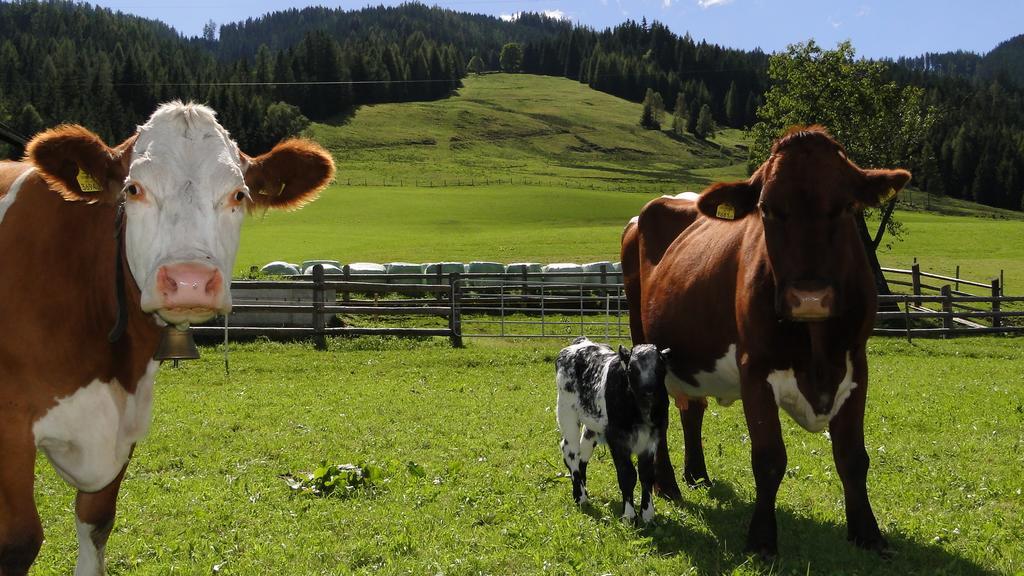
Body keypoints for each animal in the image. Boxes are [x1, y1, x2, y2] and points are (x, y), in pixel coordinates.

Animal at [0, 103, 331, 573]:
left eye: (239, 195)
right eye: (133, 189)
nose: (190, 281)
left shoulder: (124, 429)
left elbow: (96, 524)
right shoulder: (10, 428)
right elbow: (19, 540)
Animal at [557, 334, 667, 522]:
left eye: (660, 368)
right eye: (631, 370)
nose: (648, 390)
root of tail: (581, 342)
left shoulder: (652, 439)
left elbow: (647, 475)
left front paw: (647, 514)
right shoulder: (617, 440)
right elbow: (627, 475)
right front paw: (629, 515)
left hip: (592, 425)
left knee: (583, 454)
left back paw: (584, 490)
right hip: (567, 413)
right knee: (570, 451)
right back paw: (580, 496)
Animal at [618, 126, 909, 557]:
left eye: (846, 207)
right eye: (767, 208)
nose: (810, 296)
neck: (816, 350)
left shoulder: (857, 364)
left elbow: (853, 458)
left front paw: (867, 533)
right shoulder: (754, 369)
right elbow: (769, 458)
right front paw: (761, 539)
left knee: (692, 408)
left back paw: (697, 475)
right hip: (645, 343)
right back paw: (666, 484)